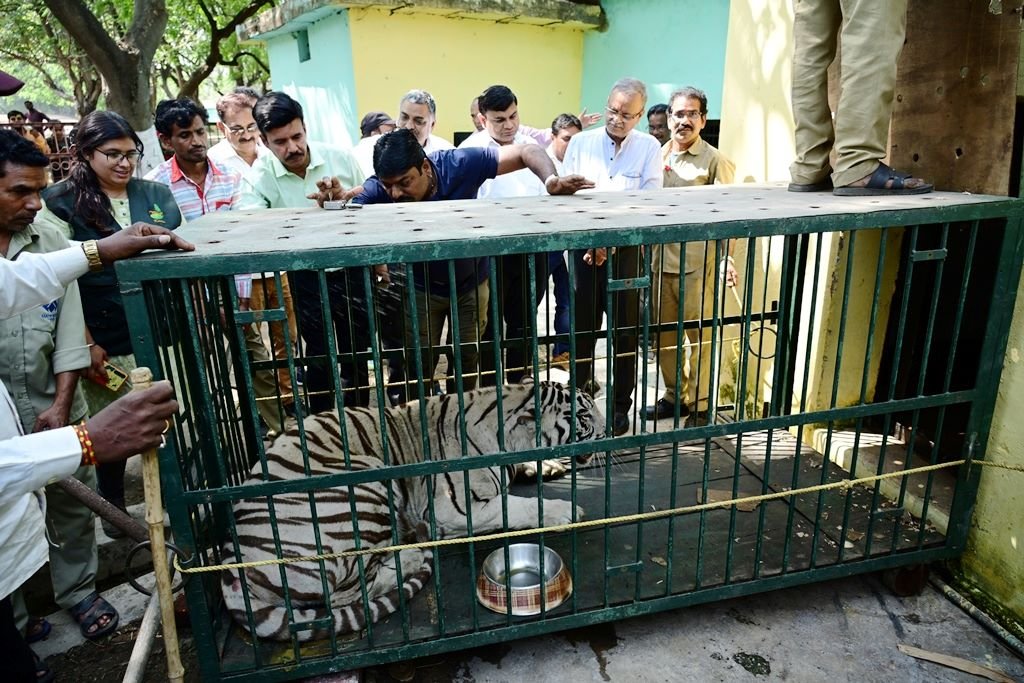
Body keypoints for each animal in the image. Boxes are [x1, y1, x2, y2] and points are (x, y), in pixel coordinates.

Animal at [221, 381, 603, 641]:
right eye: (584, 415)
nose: (609, 429)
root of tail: (229, 558)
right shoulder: (453, 509)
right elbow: (516, 505)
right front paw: (565, 509)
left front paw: (549, 466)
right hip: (363, 481)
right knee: (347, 592)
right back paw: (412, 555)